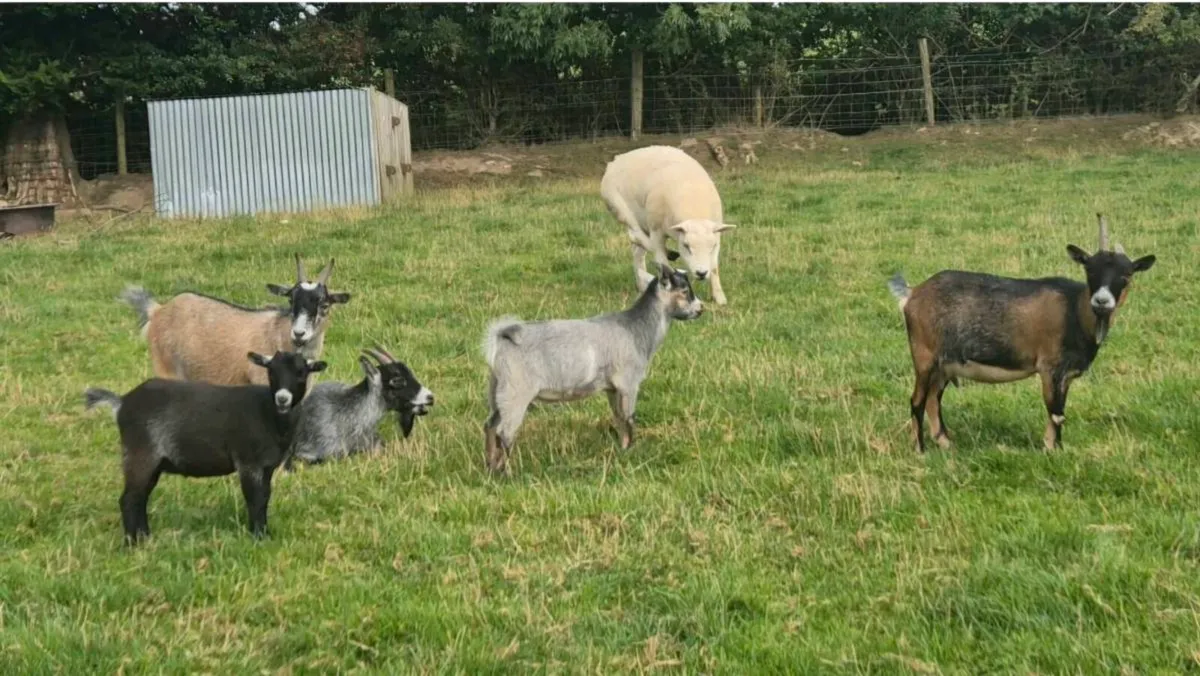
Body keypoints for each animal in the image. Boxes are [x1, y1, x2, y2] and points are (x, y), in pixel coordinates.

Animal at [85, 351, 327, 543]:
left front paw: (264, 533)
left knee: (140, 497)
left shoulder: (266, 467)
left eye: (301, 372)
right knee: (129, 499)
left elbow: (265, 497)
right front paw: (258, 537)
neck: (269, 414)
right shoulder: (248, 462)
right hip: (140, 454)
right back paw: (132, 543)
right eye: (271, 372)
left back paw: (145, 538)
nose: (282, 399)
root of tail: (122, 402)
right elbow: (255, 499)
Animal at [482, 264, 702, 475]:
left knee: (490, 426)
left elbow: (619, 419)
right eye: (684, 290)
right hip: (516, 393)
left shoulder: (612, 388)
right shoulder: (628, 384)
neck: (636, 329)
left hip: (498, 393)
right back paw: (508, 473)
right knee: (504, 434)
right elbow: (629, 419)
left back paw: (491, 468)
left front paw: (622, 451)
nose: (701, 309)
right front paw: (631, 452)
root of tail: (502, 338)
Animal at [600, 145, 737, 305]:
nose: (701, 273)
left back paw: (641, 284)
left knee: (637, 252)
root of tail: (617, 159)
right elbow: (663, 263)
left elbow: (714, 267)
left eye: (712, 246)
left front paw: (719, 298)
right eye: (686, 245)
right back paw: (668, 254)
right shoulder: (657, 231)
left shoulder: (717, 237)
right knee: (635, 235)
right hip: (621, 208)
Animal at [888, 214, 1156, 452]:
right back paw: (920, 449)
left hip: (945, 364)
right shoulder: (1049, 367)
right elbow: (1056, 412)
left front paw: (1054, 447)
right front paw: (1052, 449)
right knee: (917, 400)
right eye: (1089, 269)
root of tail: (912, 294)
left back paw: (946, 445)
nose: (1102, 301)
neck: (1074, 310)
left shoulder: (1067, 374)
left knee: (933, 399)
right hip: (925, 355)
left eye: (1127, 275)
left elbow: (1060, 410)